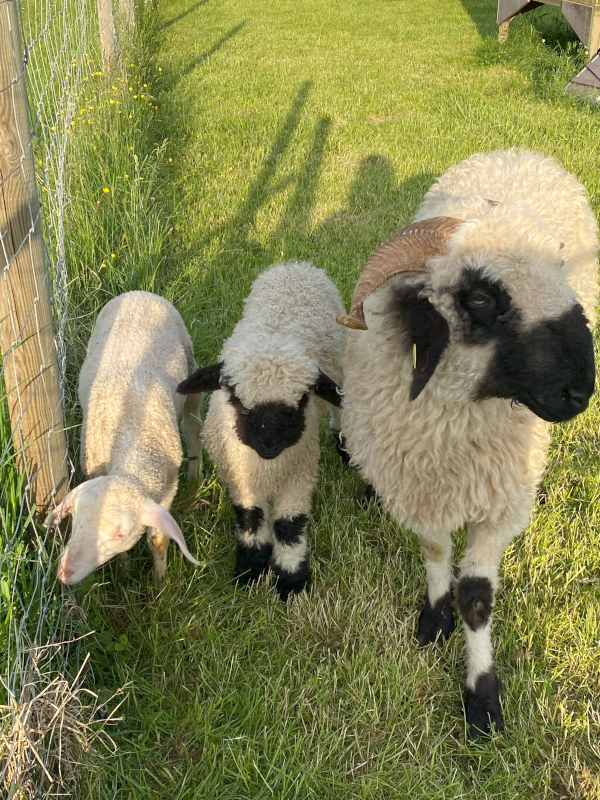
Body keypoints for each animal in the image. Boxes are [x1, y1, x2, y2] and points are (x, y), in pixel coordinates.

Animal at [48, 290, 203, 584]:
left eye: (119, 533)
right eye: (75, 519)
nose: (64, 572)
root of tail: (138, 293)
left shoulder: (166, 489)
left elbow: (158, 541)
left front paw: (159, 582)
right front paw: (124, 568)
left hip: (191, 369)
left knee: (192, 427)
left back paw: (195, 474)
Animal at [176, 262, 344, 600]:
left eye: (301, 399)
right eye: (237, 398)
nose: (269, 443)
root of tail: (294, 266)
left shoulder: (299, 474)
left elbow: (289, 525)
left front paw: (291, 580)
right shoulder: (240, 478)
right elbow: (252, 519)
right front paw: (251, 569)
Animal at [340, 148, 596, 736]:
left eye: (560, 270)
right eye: (480, 297)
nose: (581, 389)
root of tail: (518, 152)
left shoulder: (497, 505)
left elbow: (477, 597)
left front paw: (482, 698)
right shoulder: (417, 485)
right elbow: (435, 551)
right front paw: (434, 617)